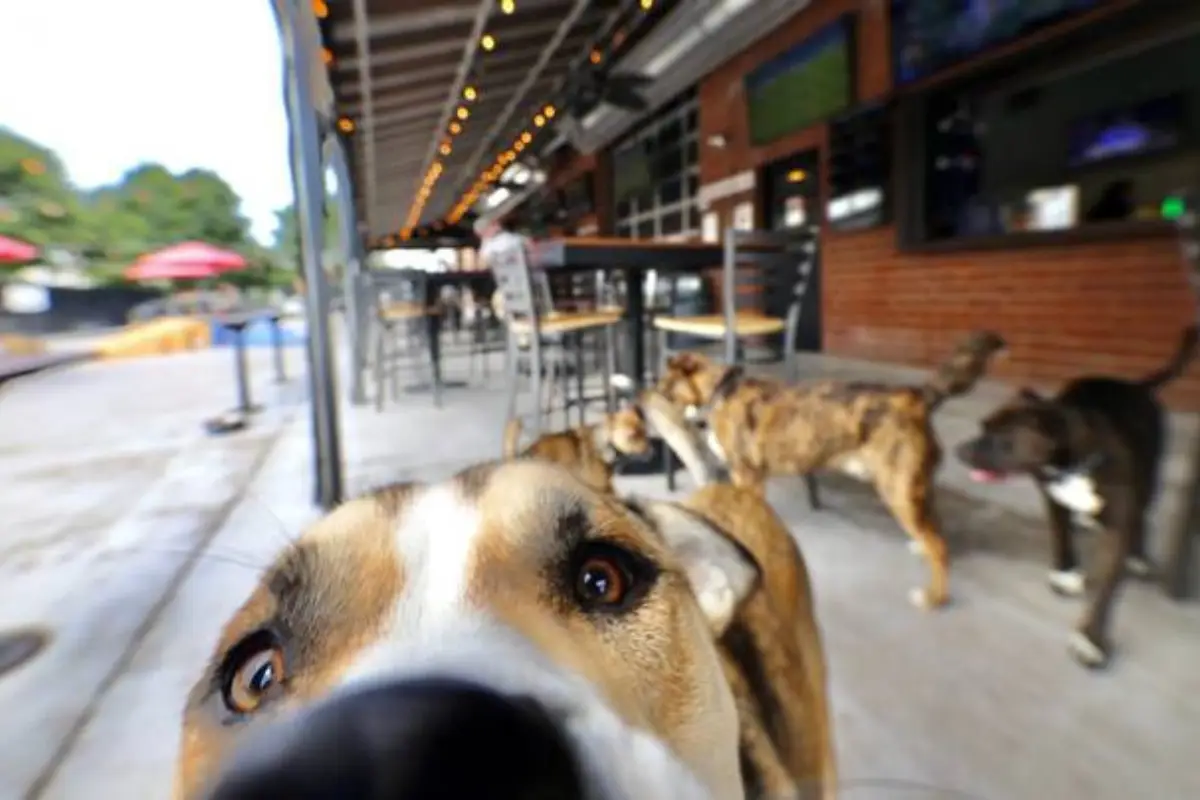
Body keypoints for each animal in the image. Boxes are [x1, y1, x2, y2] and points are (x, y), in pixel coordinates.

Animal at [652, 331, 1008, 614]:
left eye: (663, 382)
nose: (649, 394)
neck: (719, 392)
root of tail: (914, 397)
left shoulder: (747, 475)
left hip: (897, 490)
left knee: (940, 546)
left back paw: (935, 597)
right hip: (913, 488)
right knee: (934, 532)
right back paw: (921, 547)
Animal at [950, 326, 1195, 671]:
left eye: (1002, 438)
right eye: (983, 426)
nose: (959, 450)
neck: (1072, 466)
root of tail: (1136, 386)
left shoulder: (1117, 528)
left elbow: (1106, 589)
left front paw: (1090, 639)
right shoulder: (1052, 498)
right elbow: (1061, 537)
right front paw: (1065, 574)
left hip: (1151, 476)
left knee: (1143, 514)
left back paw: (1138, 554)